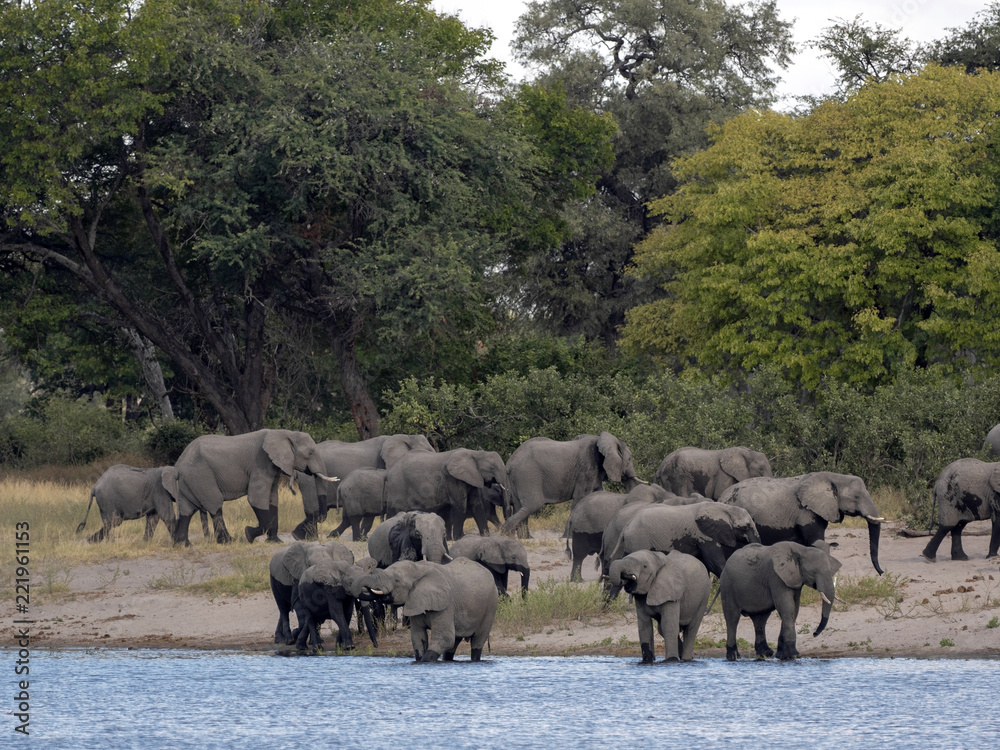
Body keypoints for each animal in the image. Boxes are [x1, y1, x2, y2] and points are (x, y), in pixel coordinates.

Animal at [165, 429, 336, 546]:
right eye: (310, 452)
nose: (320, 518)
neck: (283, 433)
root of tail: (178, 465)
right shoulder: (261, 463)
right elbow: (256, 499)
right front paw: (248, 534)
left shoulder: (272, 467)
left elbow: (272, 500)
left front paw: (275, 542)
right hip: (201, 475)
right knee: (215, 505)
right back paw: (228, 541)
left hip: (189, 481)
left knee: (187, 510)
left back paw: (183, 545)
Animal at [359, 557, 499, 662]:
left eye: (396, 580)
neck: (418, 568)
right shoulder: (415, 601)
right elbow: (418, 637)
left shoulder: (446, 604)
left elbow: (445, 638)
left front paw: (425, 661)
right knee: (454, 644)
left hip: (491, 605)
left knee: (477, 640)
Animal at [502, 432, 642, 536]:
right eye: (630, 459)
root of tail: (509, 463)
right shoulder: (587, 467)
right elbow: (580, 497)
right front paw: (568, 536)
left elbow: (597, 495)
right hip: (527, 476)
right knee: (532, 504)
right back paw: (506, 532)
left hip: (517, 479)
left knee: (519, 505)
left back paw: (524, 538)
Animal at [610, 502, 761, 581]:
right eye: (745, 527)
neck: (725, 508)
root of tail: (627, 526)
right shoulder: (704, 535)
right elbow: (714, 563)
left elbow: (705, 564)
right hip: (639, 540)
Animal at [719, 472, 884, 575]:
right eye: (856, 497)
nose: (882, 573)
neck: (833, 476)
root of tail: (720, 498)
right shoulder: (805, 512)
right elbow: (818, 543)